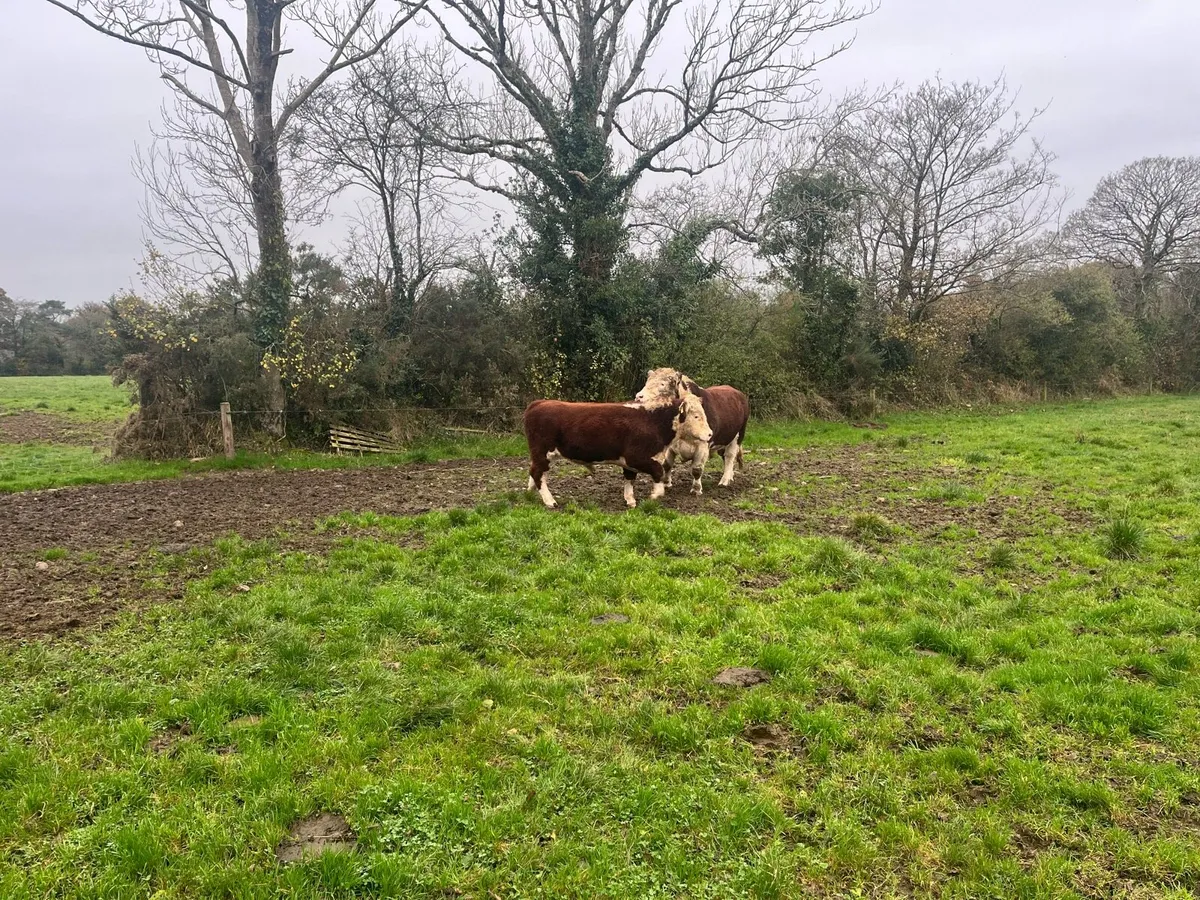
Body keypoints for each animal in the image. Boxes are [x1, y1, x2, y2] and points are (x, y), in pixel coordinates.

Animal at [523, 393, 712, 509]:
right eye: (696, 416)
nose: (710, 434)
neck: (653, 421)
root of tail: (539, 403)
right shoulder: (636, 457)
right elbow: (658, 472)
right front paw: (655, 494)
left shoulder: (630, 462)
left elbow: (630, 478)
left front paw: (630, 500)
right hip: (543, 452)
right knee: (538, 472)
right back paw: (550, 501)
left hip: (541, 455)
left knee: (535, 472)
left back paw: (531, 492)